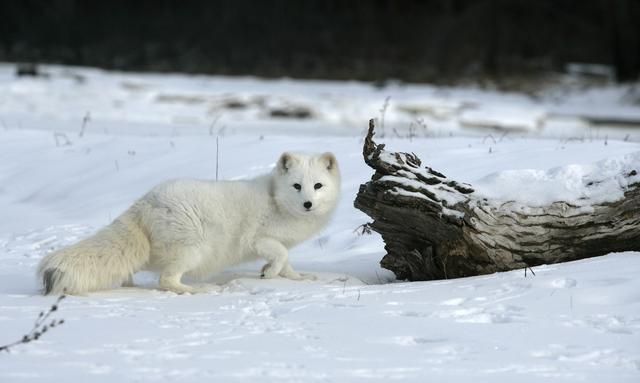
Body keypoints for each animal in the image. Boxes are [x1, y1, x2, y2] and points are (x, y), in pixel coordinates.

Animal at [36, 152, 340, 296]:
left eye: (318, 186)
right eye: (297, 186)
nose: (308, 204)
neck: (276, 199)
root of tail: (144, 202)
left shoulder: (279, 242)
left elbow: (287, 261)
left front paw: (296, 278)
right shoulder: (259, 239)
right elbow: (281, 254)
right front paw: (269, 273)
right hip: (194, 250)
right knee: (166, 279)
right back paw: (195, 291)